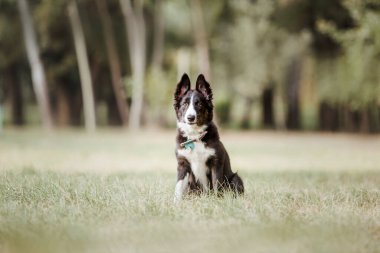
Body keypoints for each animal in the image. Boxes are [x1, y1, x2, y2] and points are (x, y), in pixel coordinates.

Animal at [174, 73, 245, 202]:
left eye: (199, 104)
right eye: (184, 104)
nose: (190, 117)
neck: (195, 137)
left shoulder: (216, 163)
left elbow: (217, 185)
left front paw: (217, 201)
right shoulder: (183, 164)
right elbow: (178, 187)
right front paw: (176, 203)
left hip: (235, 179)